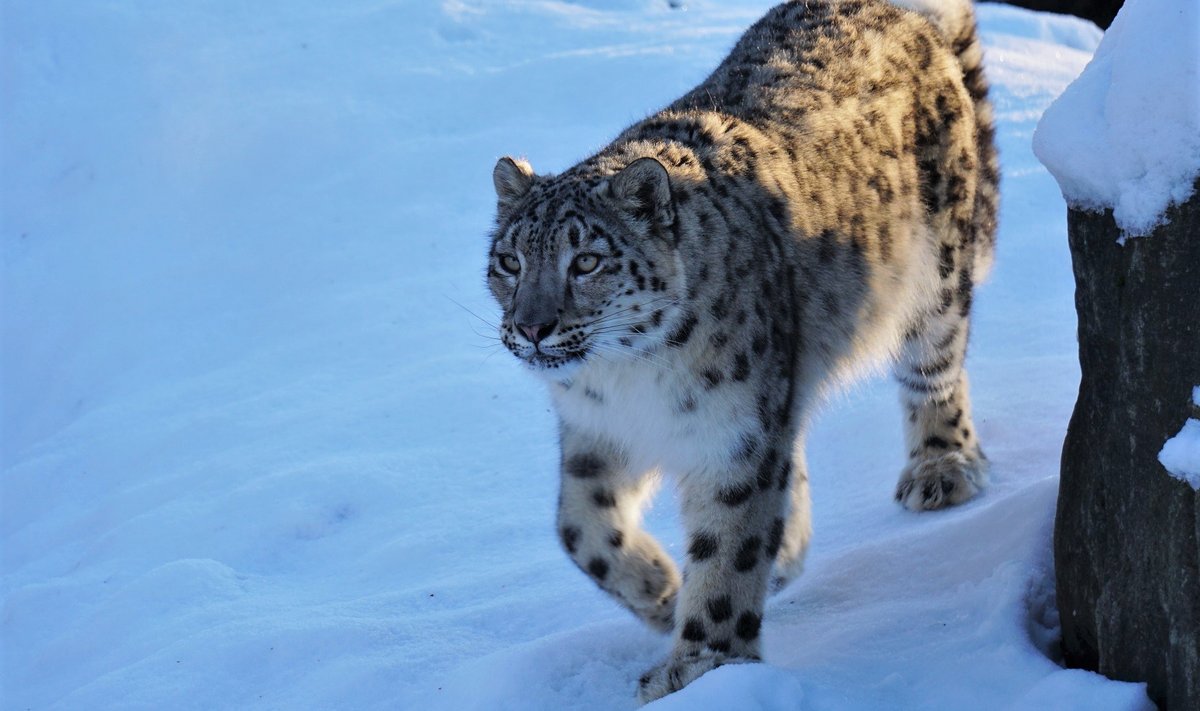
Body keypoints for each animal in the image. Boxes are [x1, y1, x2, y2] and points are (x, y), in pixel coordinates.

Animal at [482, 0, 998, 701]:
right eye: (509, 261)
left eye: (586, 261)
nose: (532, 327)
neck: (624, 380)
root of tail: (895, 11)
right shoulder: (596, 431)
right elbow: (577, 526)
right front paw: (661, 592)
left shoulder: (734, 437)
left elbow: (728, 549)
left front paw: (698, 666)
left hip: (935, 280)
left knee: (935, 370)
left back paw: (941, 469)